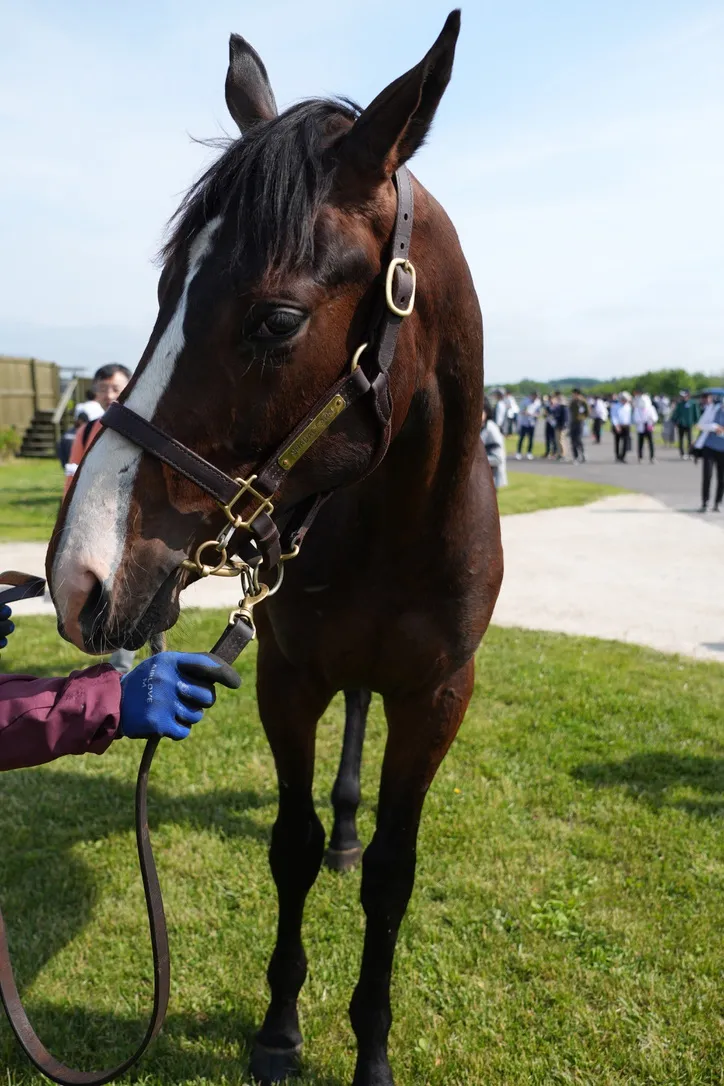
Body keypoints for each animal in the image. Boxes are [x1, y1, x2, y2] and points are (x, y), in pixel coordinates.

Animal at [47, 11, 503, 1085]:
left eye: (279, 318)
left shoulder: (438, 696)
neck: (393, 525)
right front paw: (279, 1030)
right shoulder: (285, 677)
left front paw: (370, 1045)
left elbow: (394, 873)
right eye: (167, 290)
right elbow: (291, 845)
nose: (78, 574)